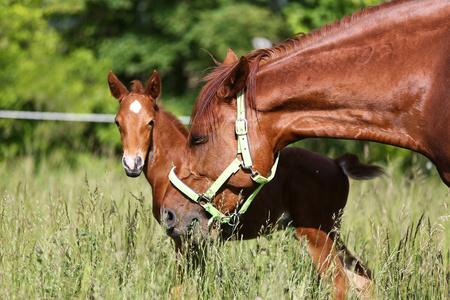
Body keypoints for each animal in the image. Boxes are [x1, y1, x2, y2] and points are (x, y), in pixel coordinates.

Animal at [106, 71, 384, 298]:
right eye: (118, 122)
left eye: (150, 122)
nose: (132, 163)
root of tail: (337, 163)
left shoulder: (183, 238)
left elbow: (182, 288)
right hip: (332, 232)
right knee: (364, 277)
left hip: (316, 233)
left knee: (339, 282)